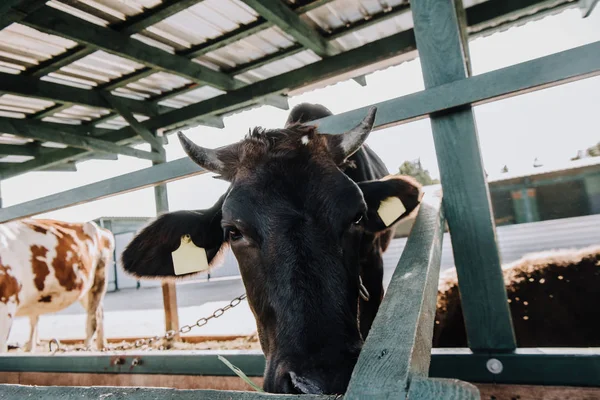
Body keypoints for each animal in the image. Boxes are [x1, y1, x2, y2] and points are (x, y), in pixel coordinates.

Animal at [0, 219, 115, 354]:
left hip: (100, 277)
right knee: (99, 311)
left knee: (93, 317)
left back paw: (87, 347)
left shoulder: (7, 304)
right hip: (85, 290)